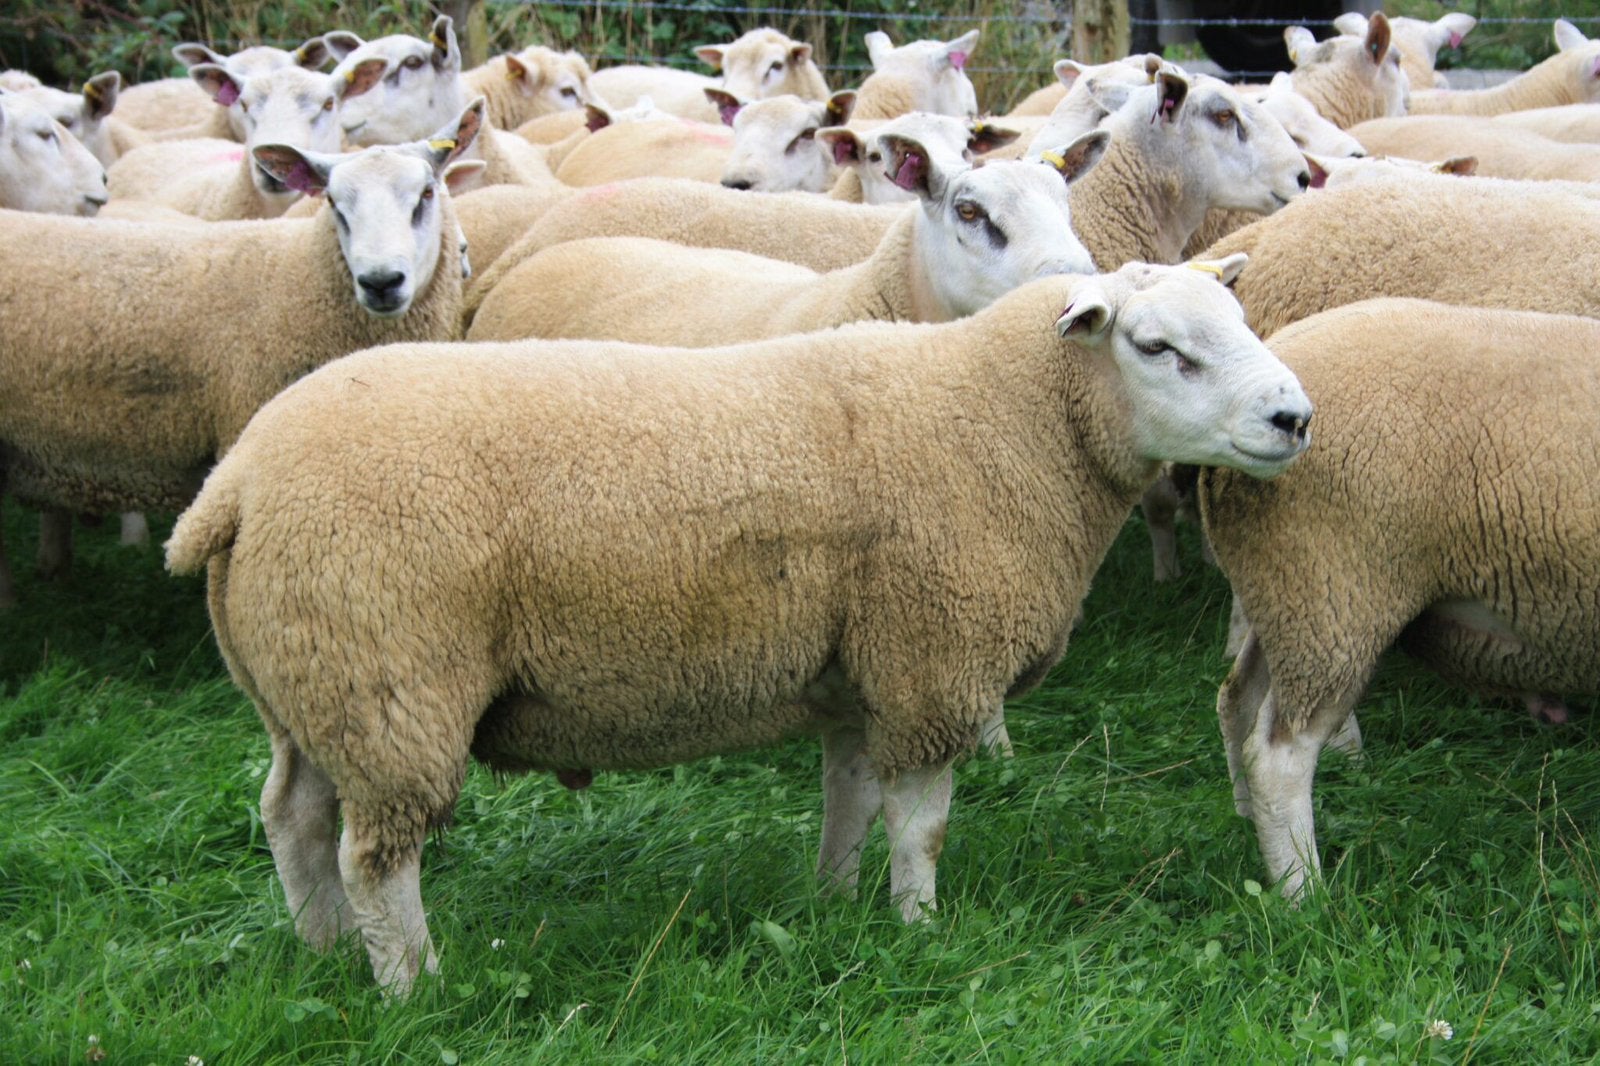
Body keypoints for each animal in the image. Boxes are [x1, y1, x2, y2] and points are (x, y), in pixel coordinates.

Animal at [164, 254, 1312, 993]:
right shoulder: (930, 659)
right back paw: (415, 987)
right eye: (1158, 347)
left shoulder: (858, 669)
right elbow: (923, 823)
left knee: (293, 819)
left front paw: (838, 906)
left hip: (309, 682)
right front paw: (920, 927)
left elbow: (851, 797)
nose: (1294, 418)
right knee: (375, 857)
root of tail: (237, 484)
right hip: (387, 678)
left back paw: (321, 953)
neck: (1008, 421)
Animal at [1200, 297, 1600, 899]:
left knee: (1236, 702)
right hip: (1336, 588)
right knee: (1277, 758)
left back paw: (1246, 825)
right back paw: (1304, 894)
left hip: (1286, 592)